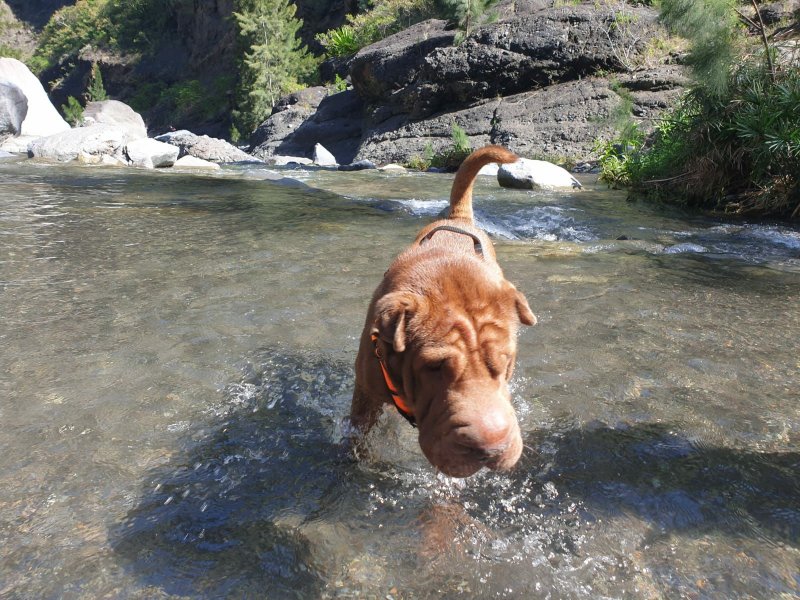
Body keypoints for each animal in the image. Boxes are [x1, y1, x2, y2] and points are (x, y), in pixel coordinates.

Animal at [351, 145, 537, 478]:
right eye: (433, 367)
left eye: (506, 361)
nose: (491, 448)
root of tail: (457, 219)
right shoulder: (365, 392)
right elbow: (356, 435)